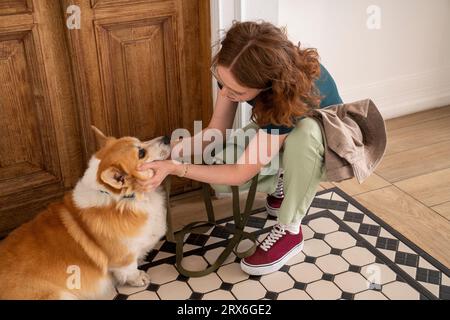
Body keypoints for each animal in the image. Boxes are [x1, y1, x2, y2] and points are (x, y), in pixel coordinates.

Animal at [0, 125, 171, 300]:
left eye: (139, 141)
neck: (123, 200)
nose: (167, 137)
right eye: (141, 153)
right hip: (61, 295)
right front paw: (139, 278)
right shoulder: (123, 258)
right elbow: (129, 269)